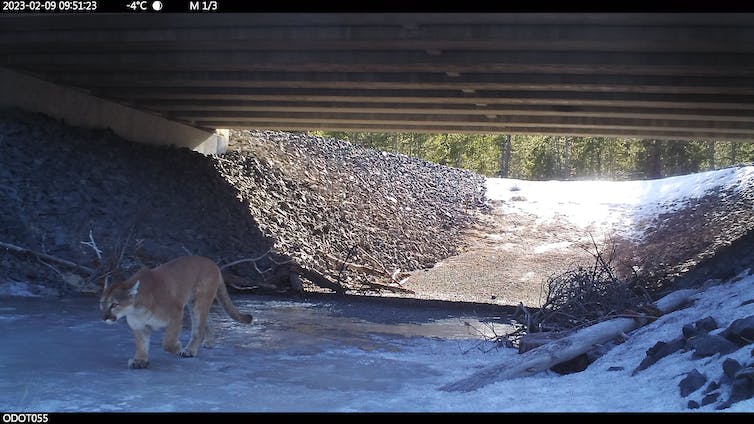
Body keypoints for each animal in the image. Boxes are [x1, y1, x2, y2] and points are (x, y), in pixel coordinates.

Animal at [98, 255, 253, 368]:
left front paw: (178, 347)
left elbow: (167, 342)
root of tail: (212, 263)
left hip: (199, 301)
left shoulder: (176, 314)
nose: (104, 318)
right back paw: (209, 341)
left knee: (198, 328)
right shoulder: (139, 326)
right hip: (194, 303)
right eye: (102, 303)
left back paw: (190, 350)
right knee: (207, 321)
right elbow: (141, 344)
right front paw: (140, 361)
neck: (136, 310)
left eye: (114, 305)